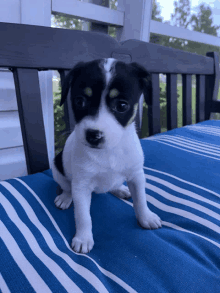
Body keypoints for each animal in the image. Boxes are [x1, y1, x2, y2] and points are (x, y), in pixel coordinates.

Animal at [51, 57, 162, 253]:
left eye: (122, 105)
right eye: (79, 101)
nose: (93, 135)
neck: (108, 151)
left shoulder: (136, 175)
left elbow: (141, 200)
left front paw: (146, 217)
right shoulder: (81, 186)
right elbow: (83, 216)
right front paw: (83, 238)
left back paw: (120, 189)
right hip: (57, 167)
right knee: (66, 186)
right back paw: (65, 197)